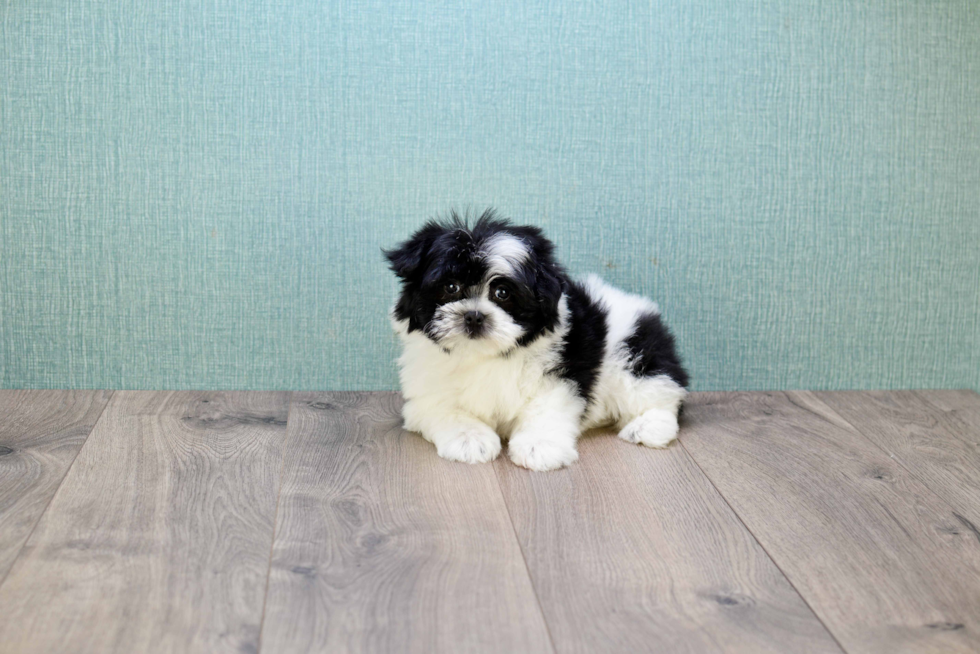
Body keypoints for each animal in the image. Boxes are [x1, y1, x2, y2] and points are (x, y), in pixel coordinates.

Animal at [384, 210, 688, 472]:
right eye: (450, 287)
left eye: (503, 293)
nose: (474, 315)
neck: (484, 355)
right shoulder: (426, 391)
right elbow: (447, 409)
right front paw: (469, 439)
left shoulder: (558, 377)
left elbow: (546, 408)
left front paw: (539, 446)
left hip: (633, 356)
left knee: (660, 395)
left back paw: (648, 427)